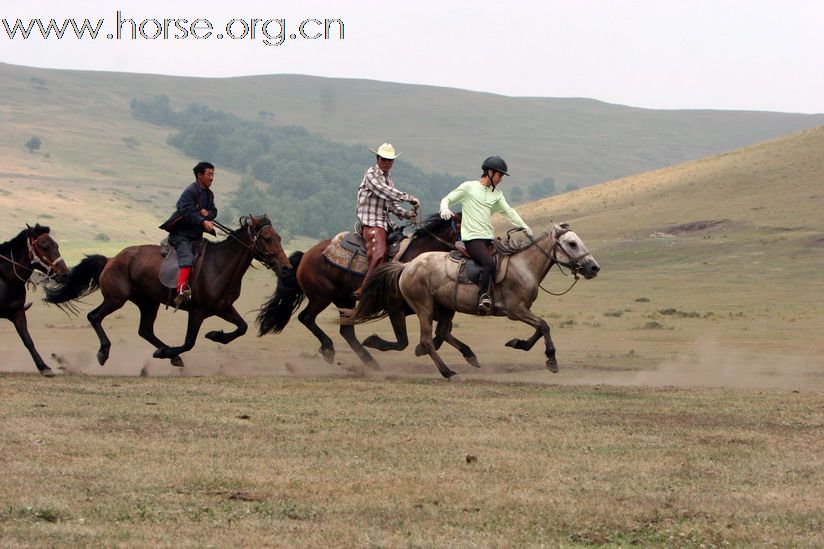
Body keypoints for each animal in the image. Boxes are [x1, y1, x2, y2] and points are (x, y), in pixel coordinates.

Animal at [0, 222, 69, 372]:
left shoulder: (17, 312)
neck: (6, 277)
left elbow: (28, 340)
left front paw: (44, 367)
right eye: (44, 246)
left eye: (57, 246)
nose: (65, 274)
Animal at [45, 214, 290, 368]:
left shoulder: (223, 308)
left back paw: (167, 354)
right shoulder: (197, 311)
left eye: (279, 238)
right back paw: (105, 352)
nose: (286, 268)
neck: (219, 265)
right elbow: (189, 342)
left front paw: (215, 335)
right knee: (94, 316)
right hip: (116, 298)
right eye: (267, 238)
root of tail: (110, 259)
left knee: (145, 331)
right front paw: (170, 351)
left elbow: (242, 328)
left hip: (148, 303)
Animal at [256, 213, 476, 368]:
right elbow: (402, 341)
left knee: (346, 331)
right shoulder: (396, 309)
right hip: (321, 297)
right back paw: (330, 349)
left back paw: (369, 361)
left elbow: (444, 329)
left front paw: (467, 353)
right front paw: (376, 341)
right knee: (306, 318)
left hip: (344, 300)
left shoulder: (424, 307)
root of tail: (306, 255)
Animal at [344, 223, 600, 376]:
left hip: (446, 307)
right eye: (572, 243)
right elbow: (544, 326)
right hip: (424, 307)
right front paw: (552, 360)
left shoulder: (522, 311)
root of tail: (407, 266)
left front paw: (517, 343)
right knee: (427, 340)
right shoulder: (516, 311)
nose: (593, 267)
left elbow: (539, 329)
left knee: (440, 334)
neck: (524, 266)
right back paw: (447, 371)